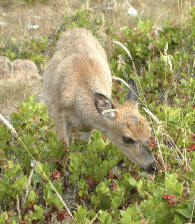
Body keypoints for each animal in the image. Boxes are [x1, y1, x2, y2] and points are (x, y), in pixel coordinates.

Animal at [42, 28, 157, 174]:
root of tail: (75, 28)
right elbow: (63, 150)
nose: (152, 166)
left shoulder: (89, 128)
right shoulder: (57, 114)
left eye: (149, 131)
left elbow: (84, 150)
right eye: (127, 138)